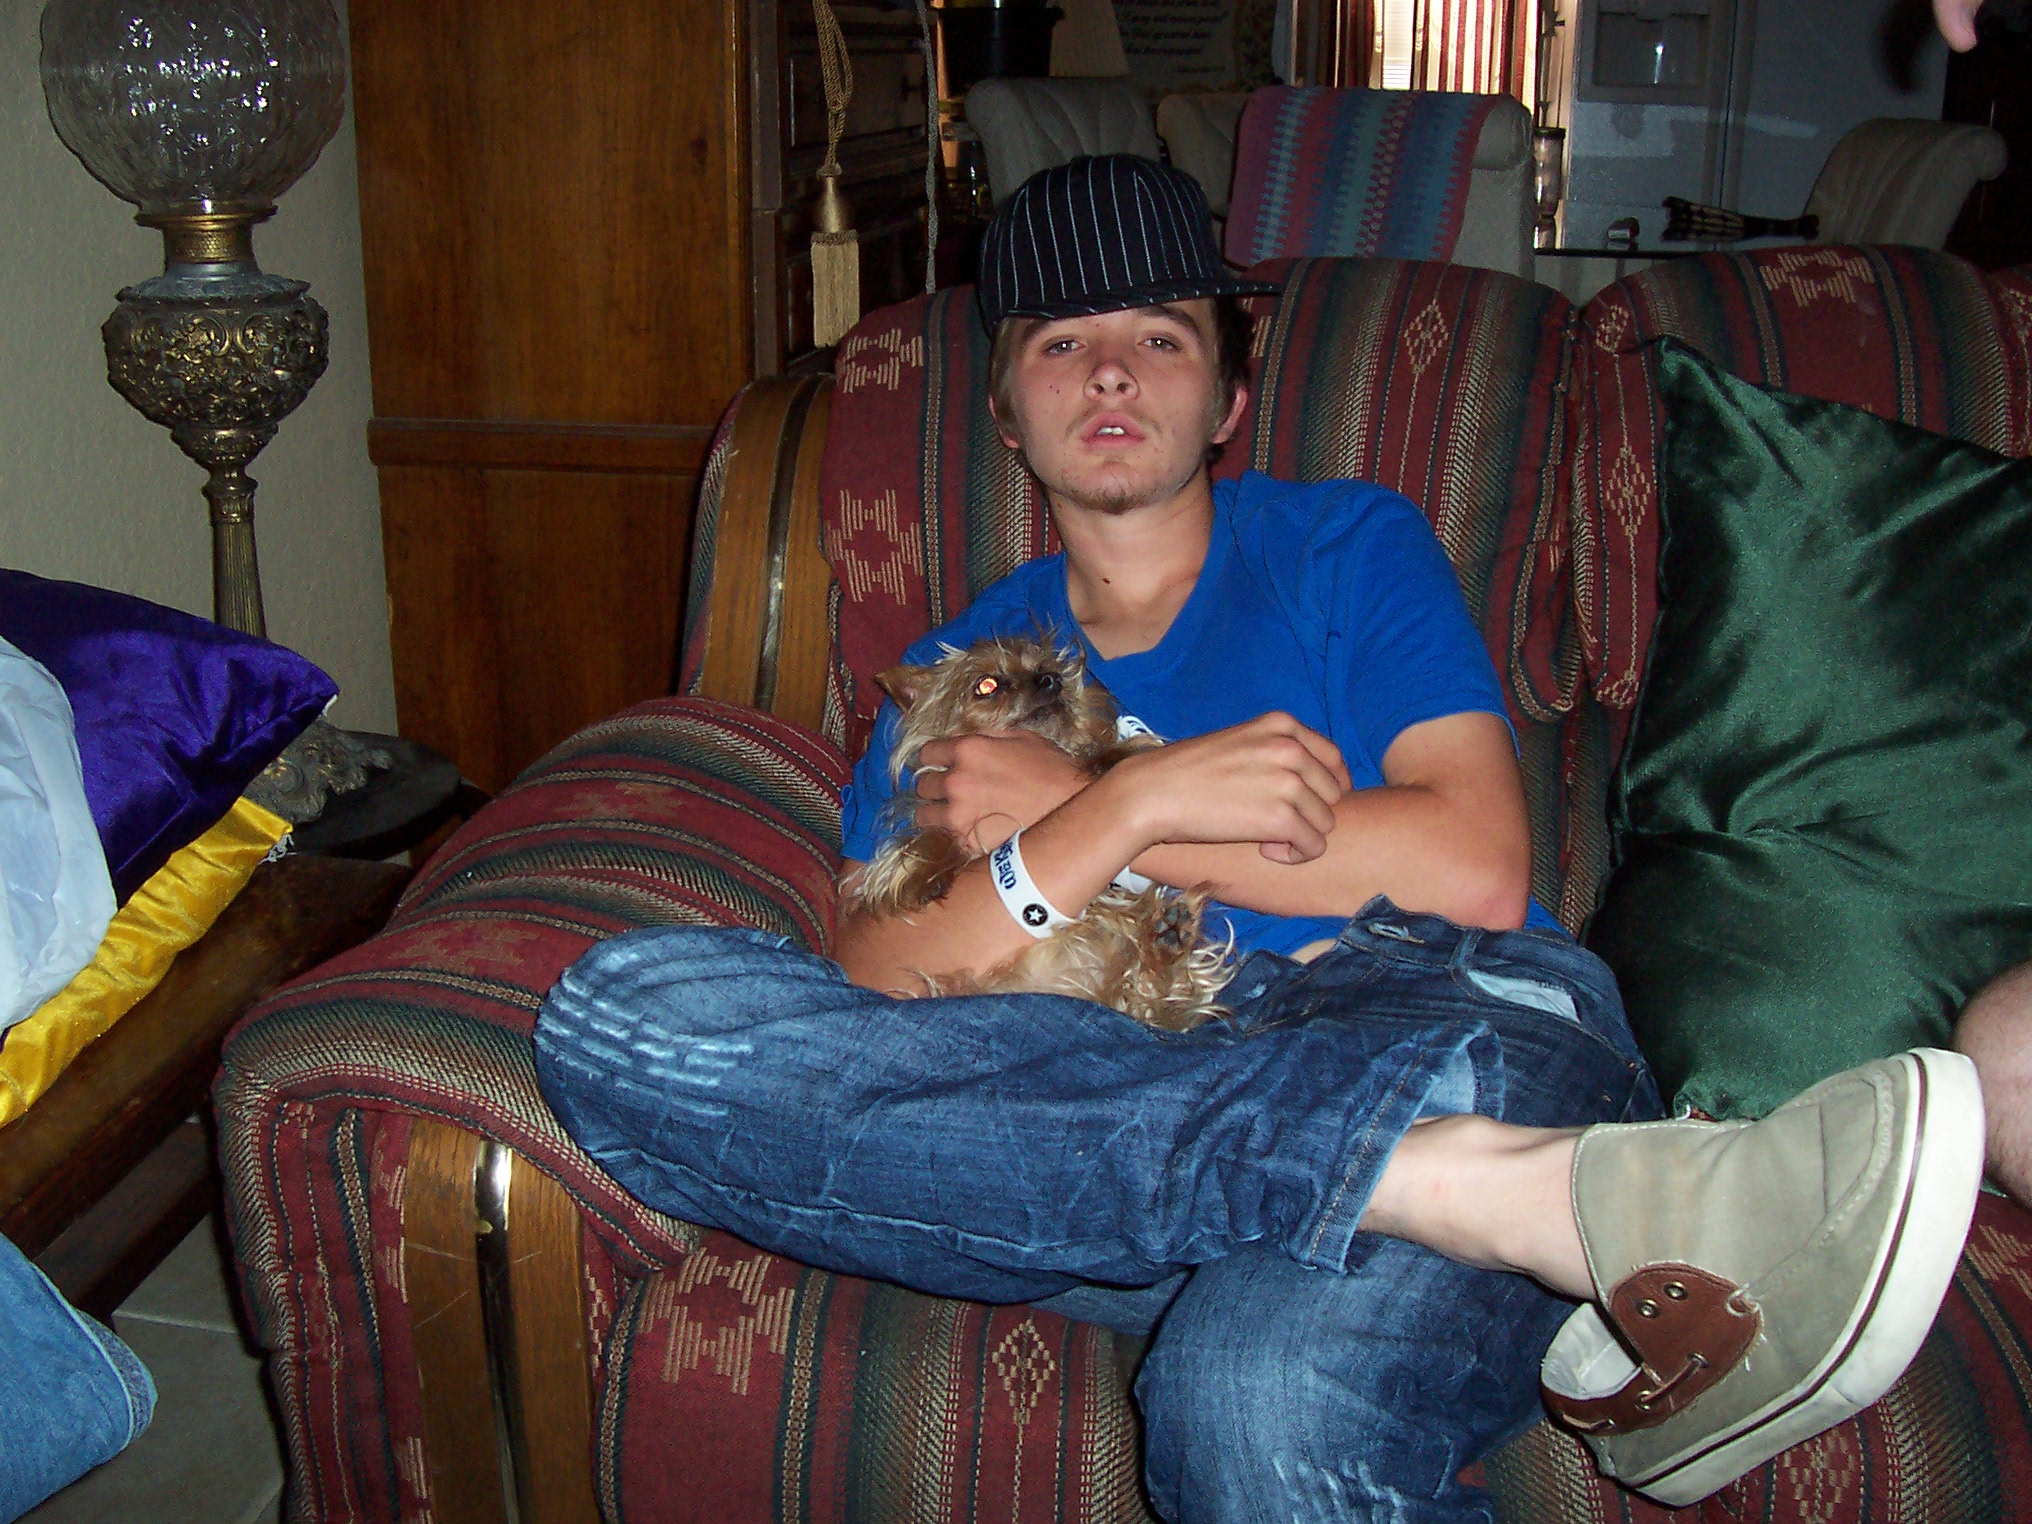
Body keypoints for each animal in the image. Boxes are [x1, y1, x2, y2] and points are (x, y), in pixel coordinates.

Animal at [841, 635, 1232, 1032]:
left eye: (1049, 670)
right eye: (986, 685)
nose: (1049, 681)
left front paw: (1110, 757)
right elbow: (930, 840)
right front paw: (922, 874)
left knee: (1159, 992)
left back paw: (1168, 938)